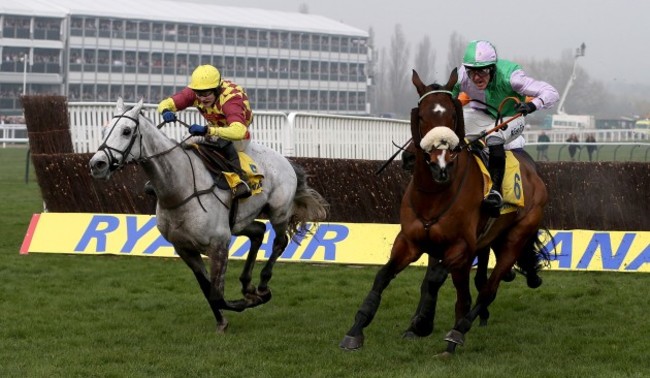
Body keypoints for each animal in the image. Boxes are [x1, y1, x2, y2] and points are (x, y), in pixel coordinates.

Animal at [88, 99, 326, 332]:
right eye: (104, 129)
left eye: (126, 131)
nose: (97, 164)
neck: (179, 190)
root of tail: (287, 161)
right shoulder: (185, 249)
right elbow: (207, 289)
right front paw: (223, 320)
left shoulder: (218, 244)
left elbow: (217, 294)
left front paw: (244, 303)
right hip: (240, 222)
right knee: (258, 231)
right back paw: (247, 284)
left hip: (279, 212)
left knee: (279, 241)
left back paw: (262, 286)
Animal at [340, 70, 552, 354]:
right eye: (421, 116)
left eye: (452, 115)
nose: (440, 164)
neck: (434, 194)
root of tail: (532, 171)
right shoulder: (410, 241)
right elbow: (384, 275)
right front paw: (357, 329)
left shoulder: (460, 246)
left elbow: (434, 279)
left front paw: (422, 323)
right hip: (484, 242)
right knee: (469, 288)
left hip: (514, 238)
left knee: (487, 289)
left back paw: (458, 331)